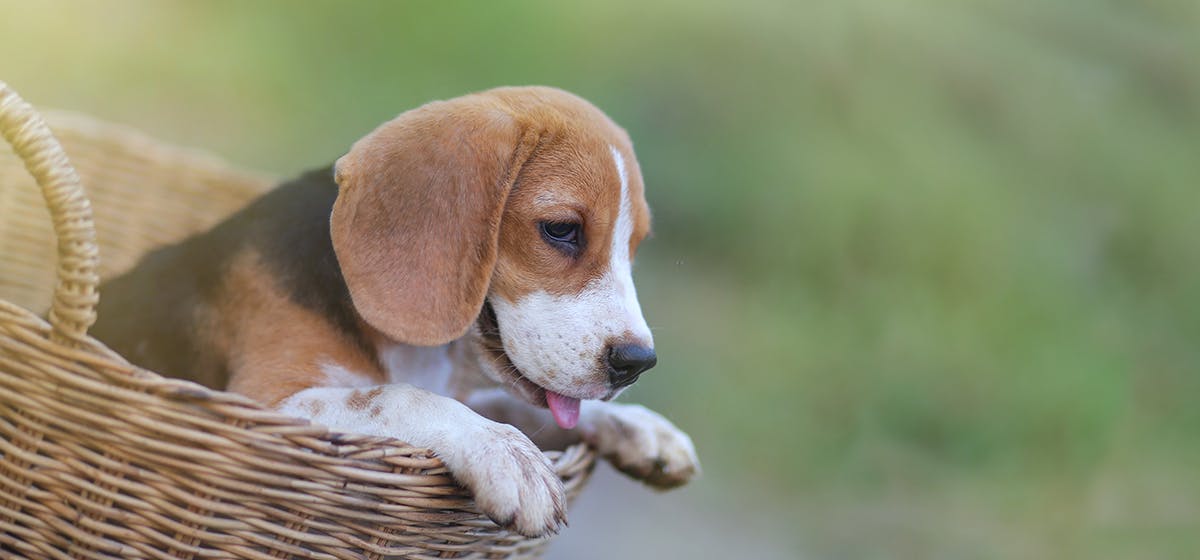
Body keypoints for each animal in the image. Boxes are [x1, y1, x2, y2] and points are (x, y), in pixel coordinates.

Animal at [93, 85, 700, 537]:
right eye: (560, 230)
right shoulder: (269, 401)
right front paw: (506, 453)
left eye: (634, 247)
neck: (429, 354)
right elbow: (396, 395)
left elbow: (517, 408)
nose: (636, 363)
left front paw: (640, 428)